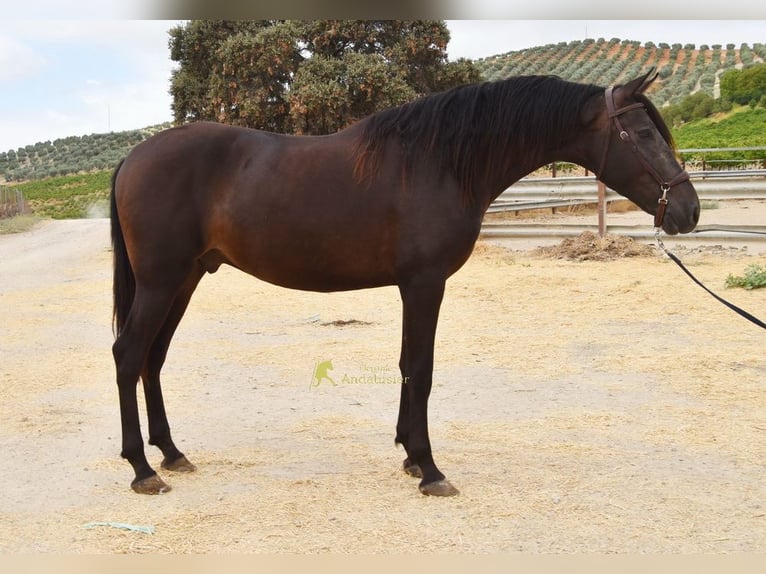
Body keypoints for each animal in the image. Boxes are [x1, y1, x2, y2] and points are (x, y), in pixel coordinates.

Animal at [110, 68, 699, 496]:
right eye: (641, 133)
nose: (687, 211)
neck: (439, 162)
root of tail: (133, 157)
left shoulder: (410, 287)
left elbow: (404, 364)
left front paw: (409, 456)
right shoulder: (424, 284)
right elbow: (422, 368)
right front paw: (430, 468)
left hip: (184, 280)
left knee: (152, 358)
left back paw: (171, 453)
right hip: (162, 282)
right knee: (128, 354)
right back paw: (142, 468)